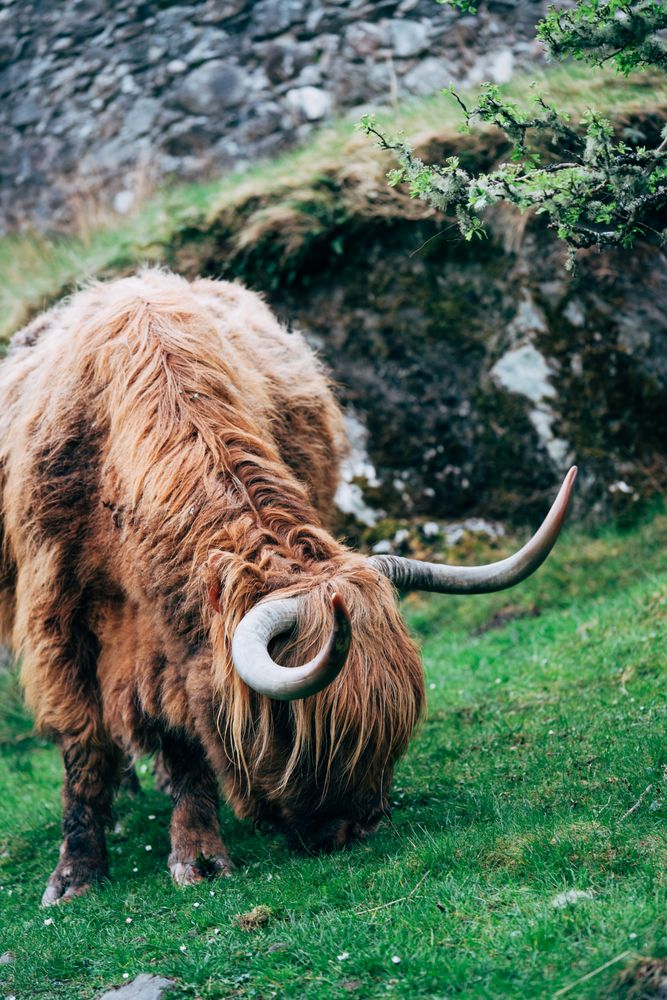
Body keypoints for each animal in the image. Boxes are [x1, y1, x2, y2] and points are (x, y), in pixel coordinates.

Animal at [0, 268, 576, 908]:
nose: (360, 825)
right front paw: (76, 874)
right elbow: (84, 746)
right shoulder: (58, 620)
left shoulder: (171, 644)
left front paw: (196, 853)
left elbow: (185, 736)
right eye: (296, 728)